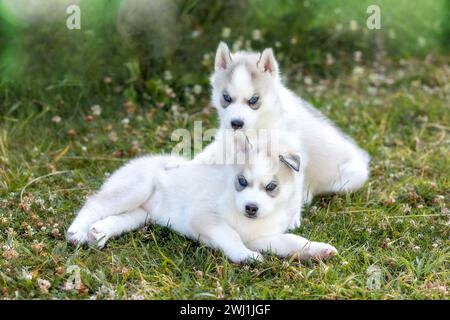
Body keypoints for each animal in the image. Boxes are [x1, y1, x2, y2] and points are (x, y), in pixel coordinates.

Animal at [65, 136, 336, 264]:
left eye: (271, 187)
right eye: (242, 181)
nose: (251, 208)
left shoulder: (261, 238)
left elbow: (292, 241)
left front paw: (318, 250)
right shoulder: (204, 217)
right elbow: (230, 235)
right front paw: (245, 257)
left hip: (141, 213)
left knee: (117, 219)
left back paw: (99, 233)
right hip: (135, 189)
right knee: (94, 204)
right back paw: (77, 232)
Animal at [171, 43, 370, 228]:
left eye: (253, 100)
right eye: (226, 98)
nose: (236, 123)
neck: (257, 126)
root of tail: (362, 156)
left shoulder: (293, 154)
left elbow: (294, 184)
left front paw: (293, 216)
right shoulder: (225, 142)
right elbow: (205, 156)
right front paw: (179, 166)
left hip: (350, 177)